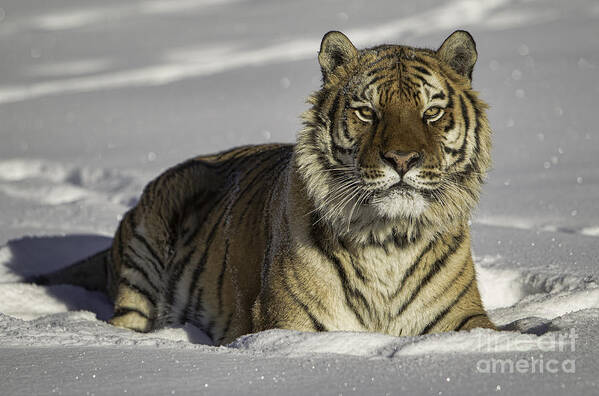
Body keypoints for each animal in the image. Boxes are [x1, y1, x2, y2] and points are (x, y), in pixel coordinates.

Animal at [35, 30, 500, 344]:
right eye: (367, 112)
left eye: (431, 112)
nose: (402, 160)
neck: (388, 239)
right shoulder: (288, 326)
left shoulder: (463, 319)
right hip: (143, 262)